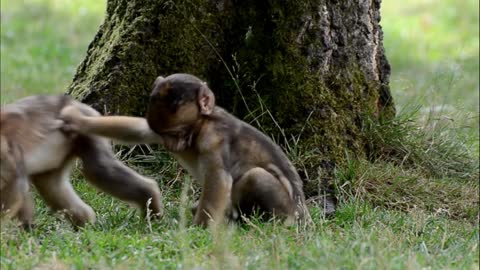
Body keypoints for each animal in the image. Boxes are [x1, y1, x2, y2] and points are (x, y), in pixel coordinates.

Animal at [0, 95, 163, 228]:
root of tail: (76, 103)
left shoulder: (6, 155)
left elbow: (15, 184)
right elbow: (19, 187)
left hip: (85, 132)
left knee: (99, 169)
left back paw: (150, 202)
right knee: (49, 185)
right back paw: (83, 225)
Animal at [61, 74, 308, 228]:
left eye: (178, 133)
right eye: (166, 135)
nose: (172, 146)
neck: (200, 126)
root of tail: (302, 215)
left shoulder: (213, 139)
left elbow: (218, 179)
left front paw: (199, 228)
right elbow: (138, 130)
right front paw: (77, 120)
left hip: (284, 206)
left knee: (254, 176)